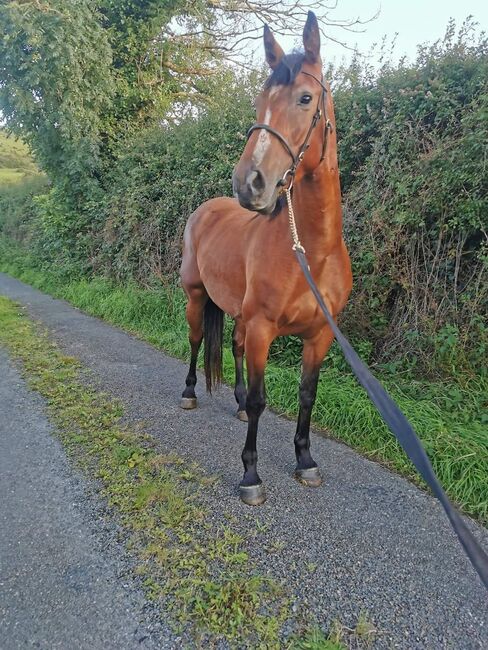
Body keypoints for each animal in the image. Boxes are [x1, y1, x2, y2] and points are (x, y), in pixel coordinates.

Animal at [179, 11, 350, 506]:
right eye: (259, 101)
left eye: (305, 98)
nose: (249, 183)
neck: (310, 253)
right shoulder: (262, 329)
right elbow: (261, 399)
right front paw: (251, 476)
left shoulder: (319, 336)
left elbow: (307, 395)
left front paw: (306, 461)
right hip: (196, 297)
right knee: (196, 340)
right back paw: (190, 393)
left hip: (238, 312)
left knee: (232, 348)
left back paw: (233, 403)